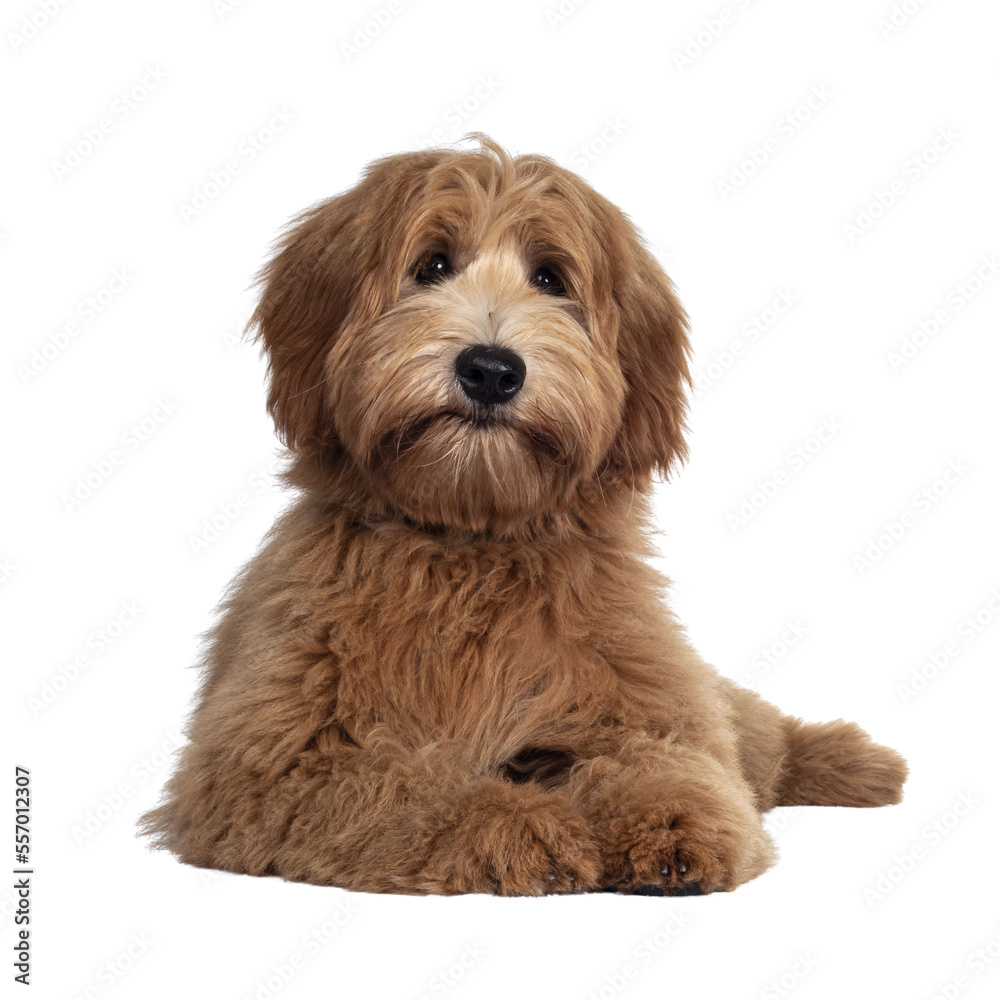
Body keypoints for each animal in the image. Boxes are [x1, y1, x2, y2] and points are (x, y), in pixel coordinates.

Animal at [143, 135, 916, 900]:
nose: (490, 369)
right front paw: (519, 826)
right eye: (432, 265)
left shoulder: (645, 695)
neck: (474, 540)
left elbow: (676, 762)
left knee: (756, 733)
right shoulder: (263, 764)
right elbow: (403, 782)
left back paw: (856, 760)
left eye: (550, 278)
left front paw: (673, 826)